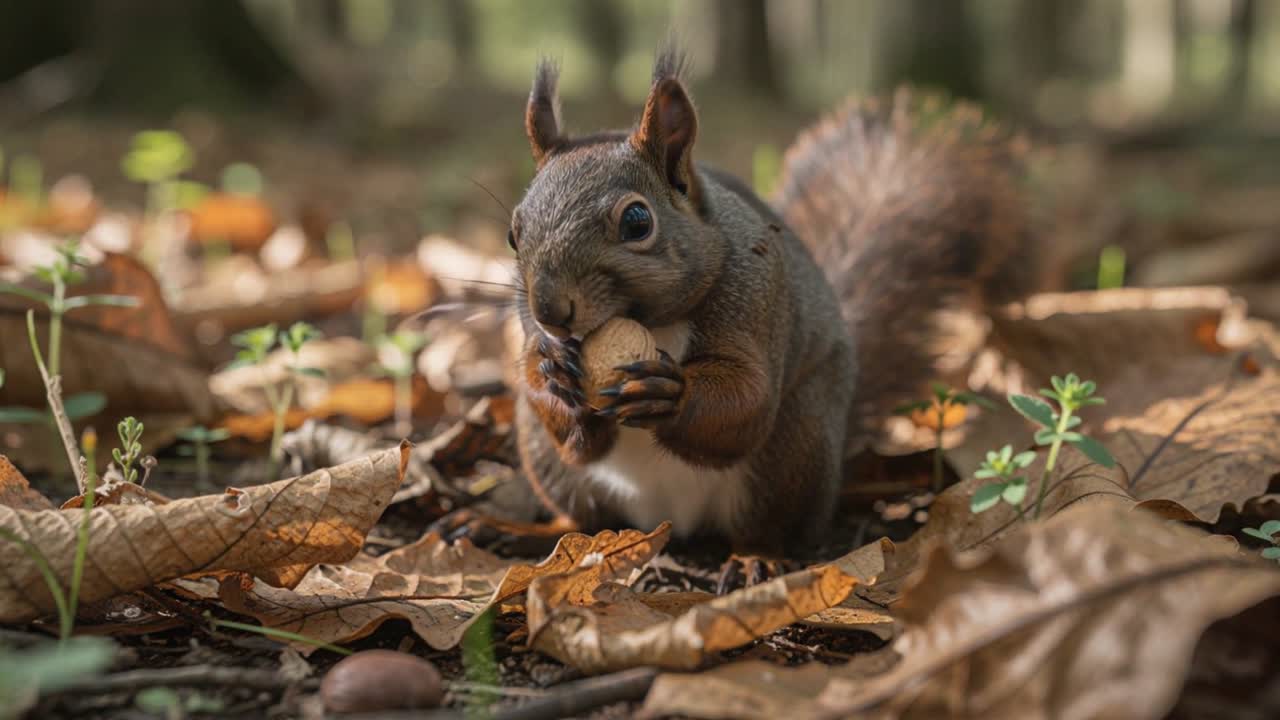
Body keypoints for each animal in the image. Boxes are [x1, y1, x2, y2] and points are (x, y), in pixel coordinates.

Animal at [506, 47, 1030, 559]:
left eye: (637, 221)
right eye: (514, 232)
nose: (550, 311)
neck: (652, 322)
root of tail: (669, 520)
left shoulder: (756, 300)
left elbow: (748, 397)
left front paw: (669, 391)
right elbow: (553, 405)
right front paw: (553, 375)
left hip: (793, 449)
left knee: (766, 525)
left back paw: (753, 559)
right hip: (545, 458)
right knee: (585, 515)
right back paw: (529, 530)